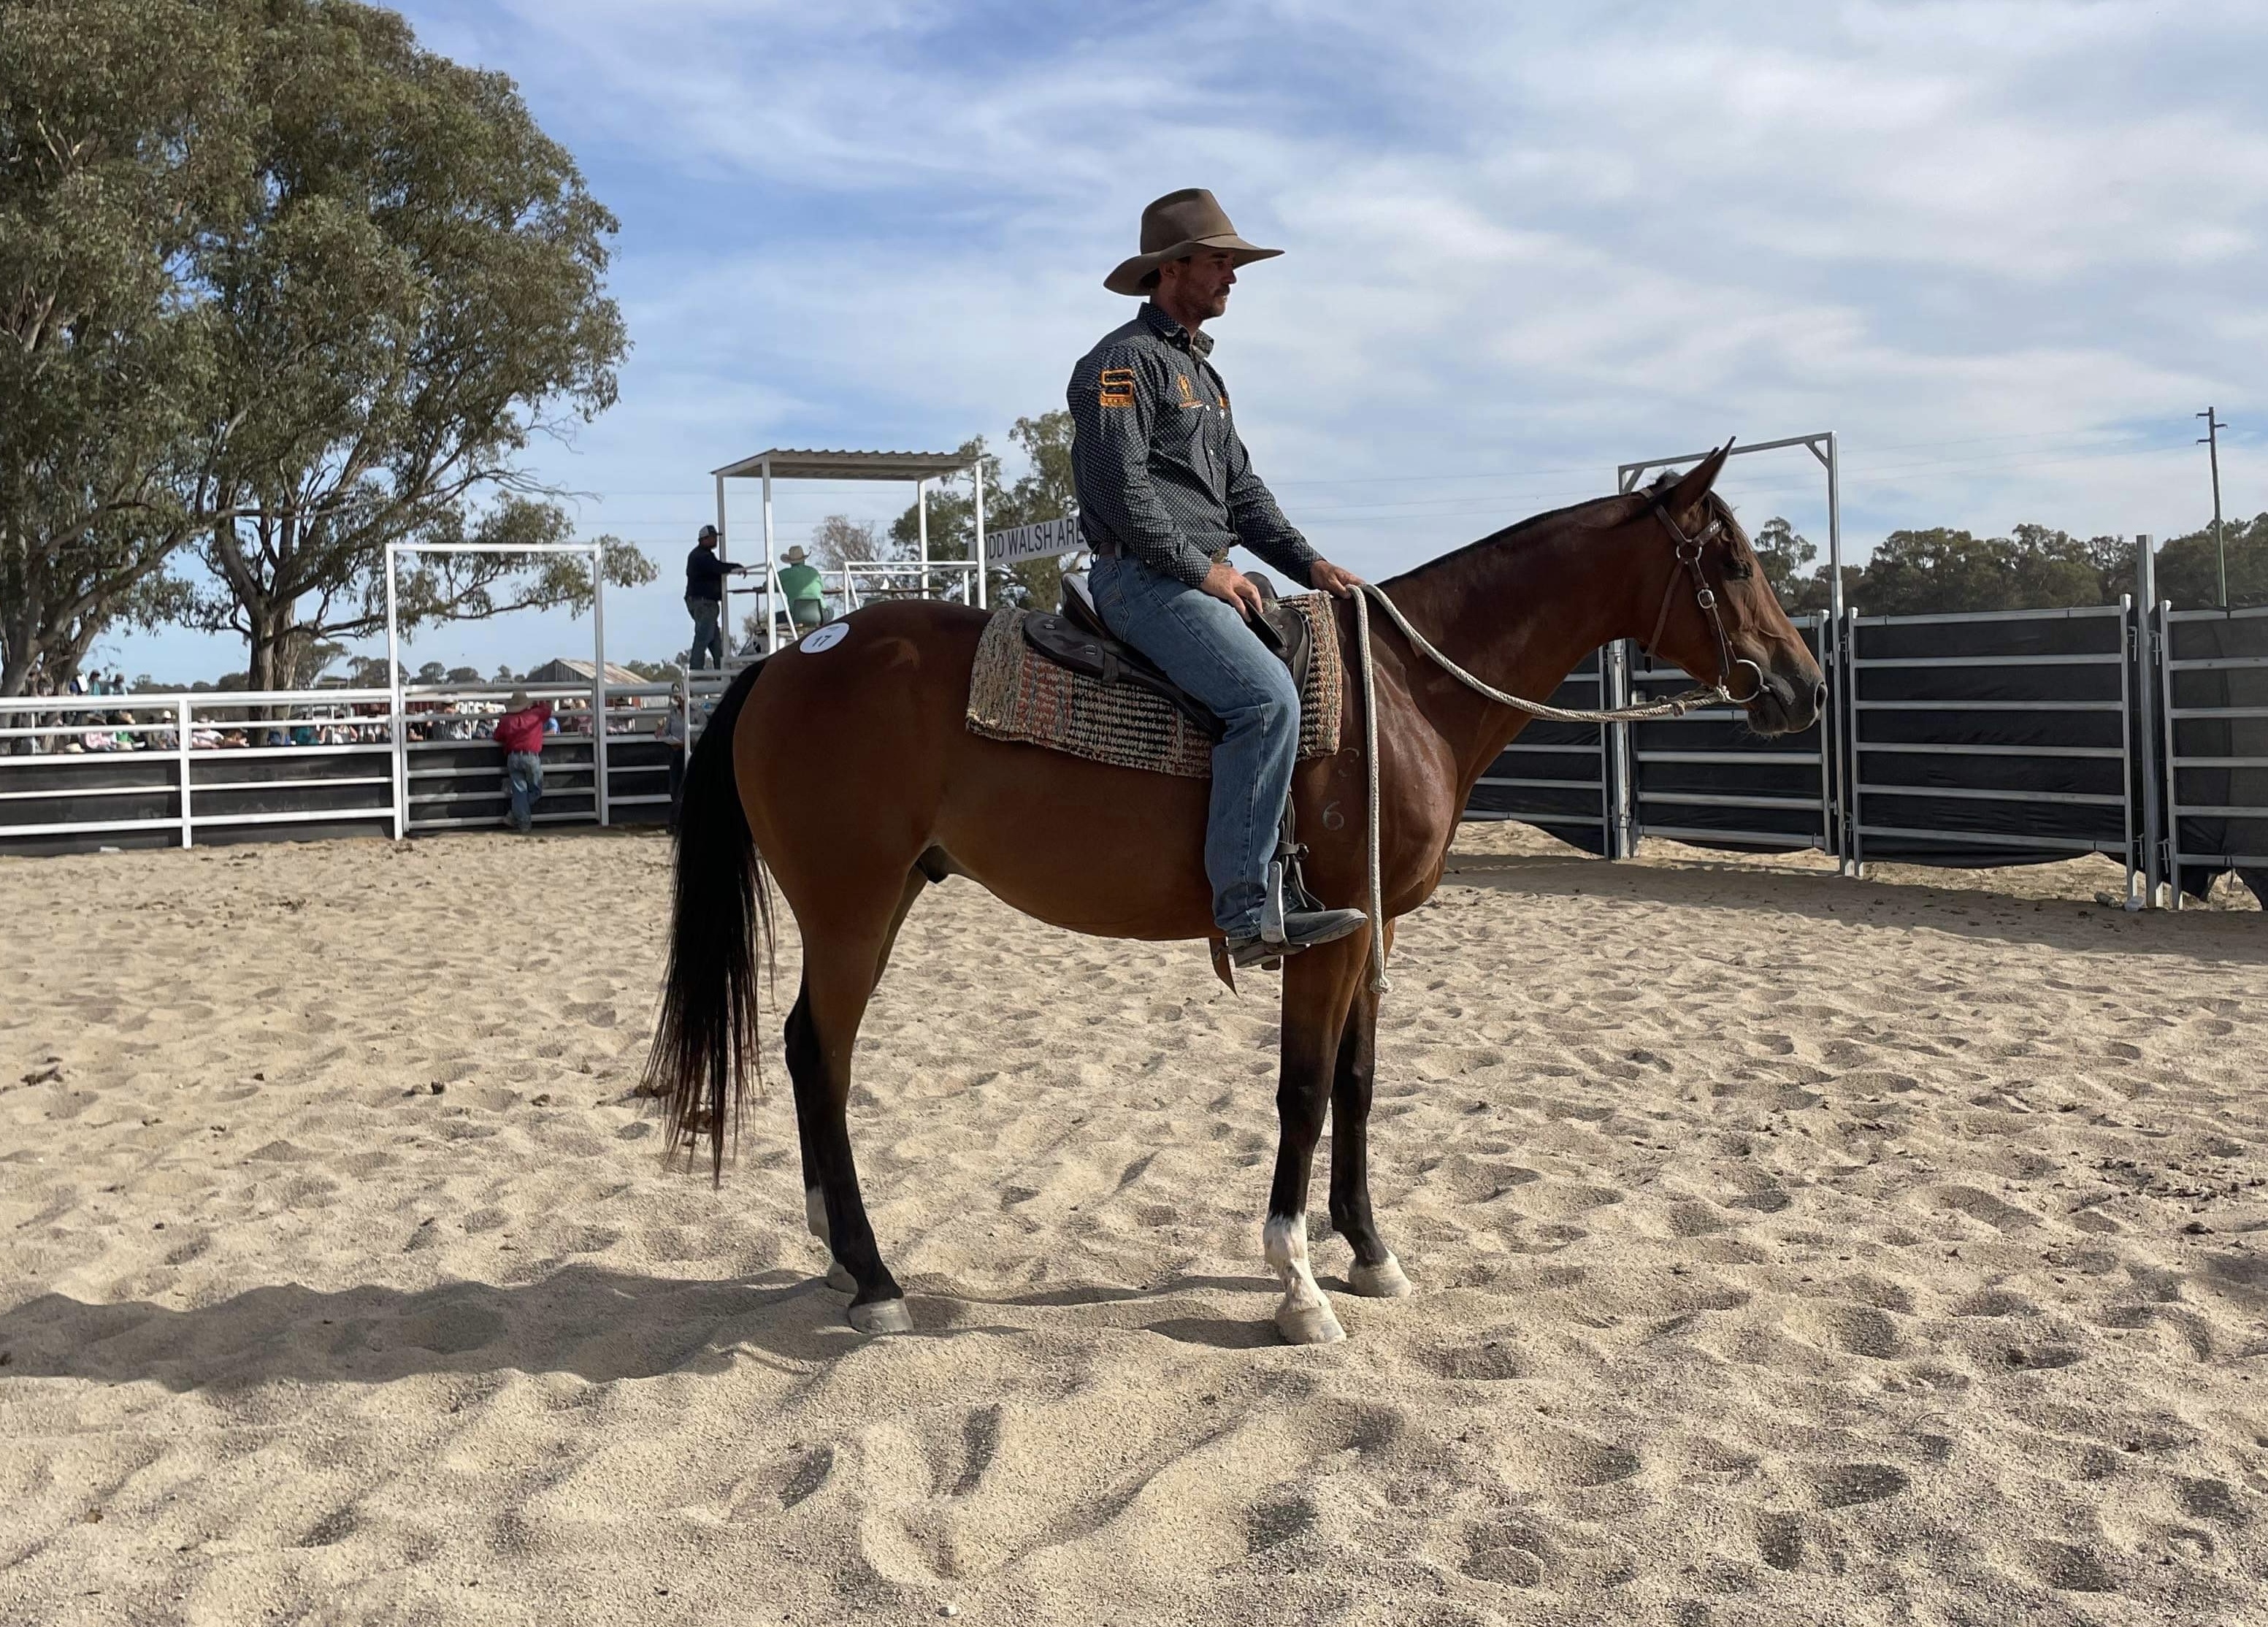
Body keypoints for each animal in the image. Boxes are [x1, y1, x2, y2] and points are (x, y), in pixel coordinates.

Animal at [643, 443, 1824, 1344]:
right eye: (1730, 558)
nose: (1802, 687)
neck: (1406, 693)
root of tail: (793, 656)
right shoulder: (1321, 936)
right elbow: (1301, 1091)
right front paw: (1298, 1287)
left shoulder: (1369, 933)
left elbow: (1356, 1083)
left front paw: (1370, 1252)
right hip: (850, 908)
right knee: (817, 1051)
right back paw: (876, 1278)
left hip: (881, 902)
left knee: (814, 1054)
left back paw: (842, 1262)